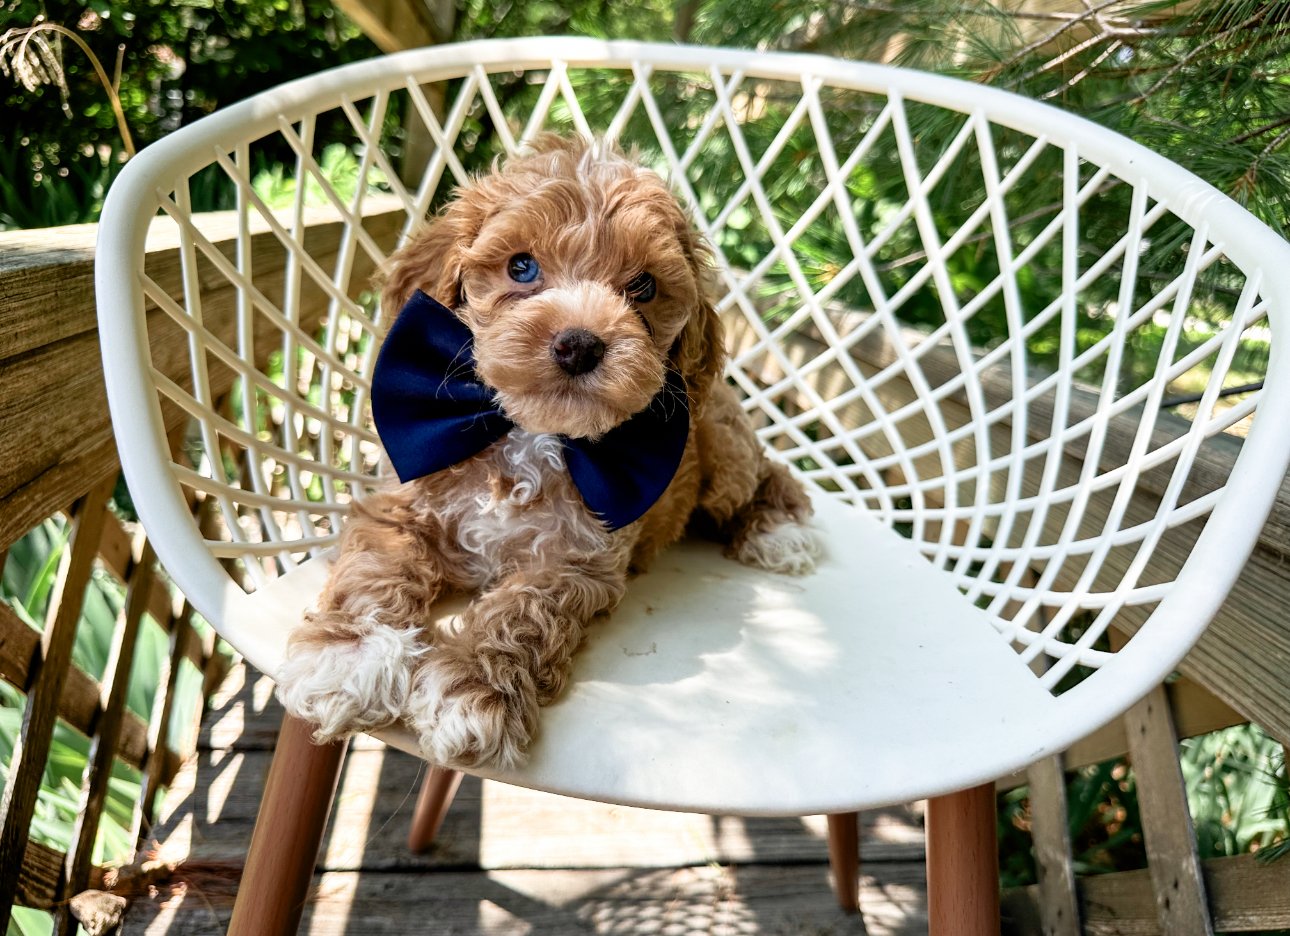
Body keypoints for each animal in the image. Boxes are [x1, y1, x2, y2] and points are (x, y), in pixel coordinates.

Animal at [281, 135, 820, 773]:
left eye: (643, 287)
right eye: (521, 267)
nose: (580, 343)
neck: (530, 434)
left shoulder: (579, 562)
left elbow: (524, 610)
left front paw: (473, 688)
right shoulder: (398, 501)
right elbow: (375, 564)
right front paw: (349, 654)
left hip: (723, 452)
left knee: (769, 473)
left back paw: (778, 531)